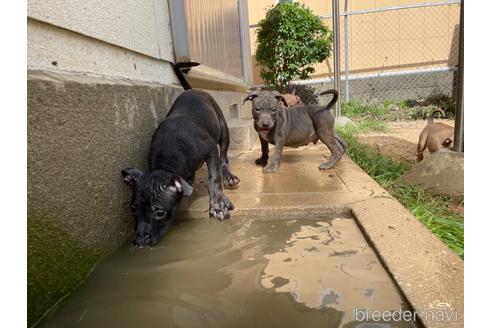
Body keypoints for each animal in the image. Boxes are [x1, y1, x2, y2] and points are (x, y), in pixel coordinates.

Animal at [122, 62, 239, 246]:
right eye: (133, 209)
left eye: (159, 212)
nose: (139, 241)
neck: (167, 160)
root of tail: (193, 89)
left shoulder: (210, 149)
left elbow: (213, 178)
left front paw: (218, 205)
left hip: (222, 129)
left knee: (223, 158)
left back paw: (228, 176)